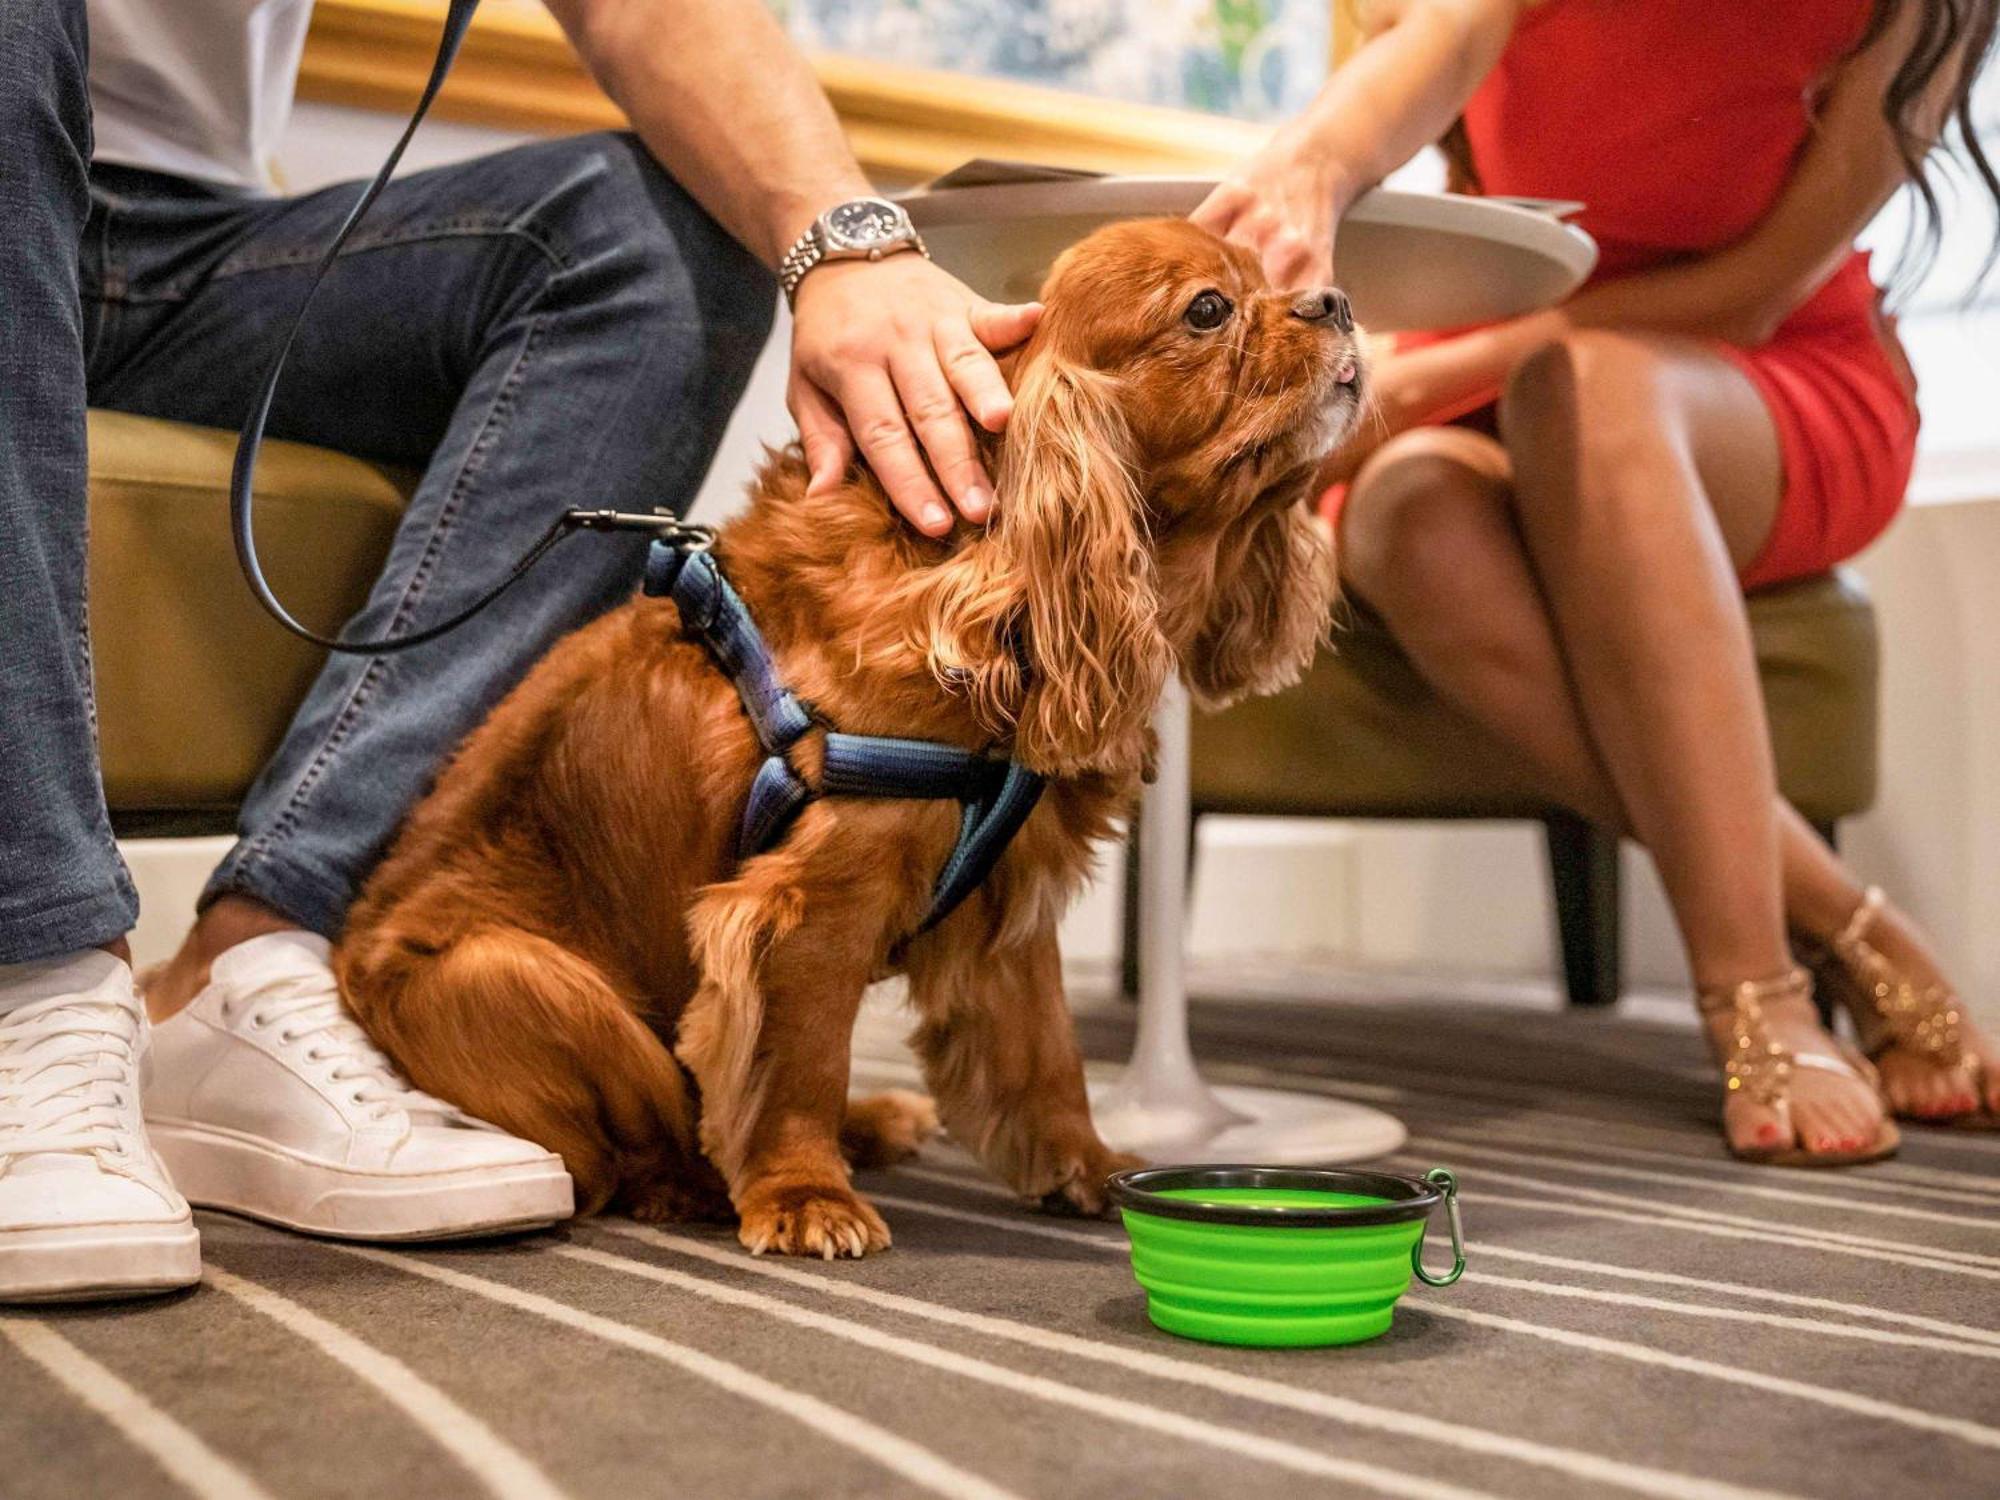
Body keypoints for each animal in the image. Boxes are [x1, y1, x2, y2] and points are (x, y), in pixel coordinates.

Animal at [340, 220, 1360, 1256]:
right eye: (1208, 309)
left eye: (1272, 278)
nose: (1337, 302)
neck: (986, 581)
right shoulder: (811, 906)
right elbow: (798, 1065)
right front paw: (803, 1195)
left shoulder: (1010, 896)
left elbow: (1048, 1055)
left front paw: (1088, 1165)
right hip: (541, 983)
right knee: (635, 1147)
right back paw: (706, 1181)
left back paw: (865, 1125)